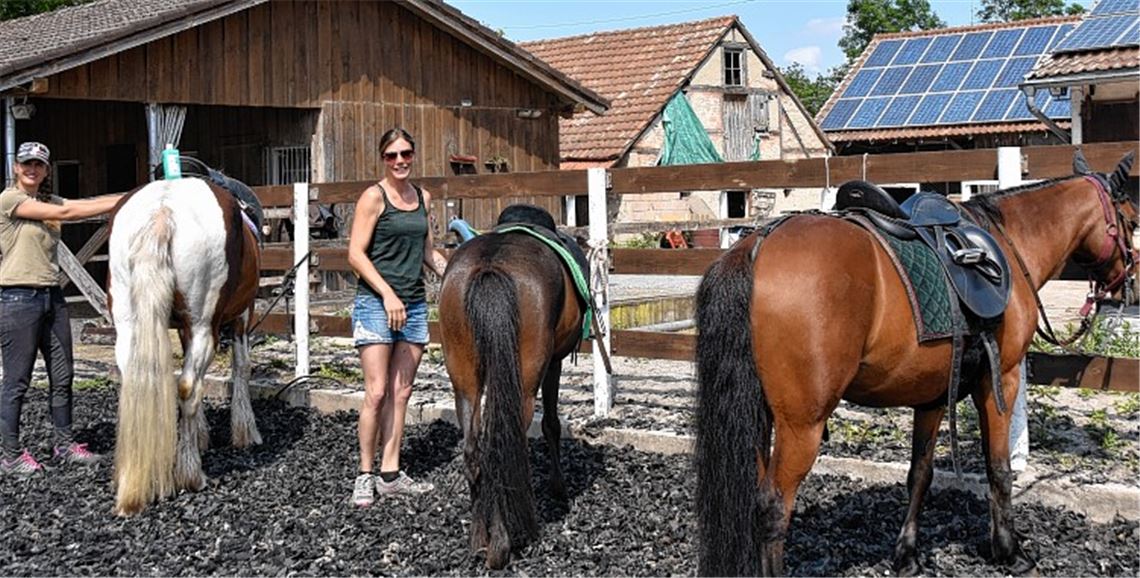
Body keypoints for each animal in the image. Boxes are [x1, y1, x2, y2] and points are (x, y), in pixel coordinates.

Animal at [106, 171, 263, 516]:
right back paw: (191, 473)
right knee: (189, 386)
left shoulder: (182, 328)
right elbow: (242, 367)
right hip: (205, 323)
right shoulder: (243, 314)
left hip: (128, 322)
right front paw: (245, 430)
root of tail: (163, 211)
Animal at [438, 204, 588, 569]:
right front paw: (558, 488)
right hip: (526, 379)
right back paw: (502, 544)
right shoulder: (553, 363)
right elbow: (551, 425)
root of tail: (492, 265)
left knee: (474, 450)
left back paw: (480, 539)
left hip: (464, 379)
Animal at [693, 151, 1137, 576]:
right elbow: (999, 469)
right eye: (1131, 220)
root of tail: (756, 245)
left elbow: (919, 475)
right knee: (773, 508)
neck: (1009, 242)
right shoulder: (1001, 380)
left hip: (761, 415)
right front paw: (1009, 551)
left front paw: (907, 557)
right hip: (803, 424)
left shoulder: (933, 395)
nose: (1126, 284)